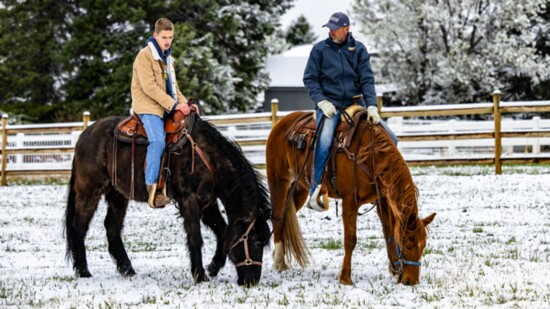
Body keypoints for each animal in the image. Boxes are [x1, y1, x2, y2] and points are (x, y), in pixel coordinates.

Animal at [66, 112, 272, 284]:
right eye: (256, 242)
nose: (252, 281)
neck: (207, 157)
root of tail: (85, 136)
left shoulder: (208, 202)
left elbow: (223, 232)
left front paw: (213, 267)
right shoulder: (189, 200)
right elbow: (195, 237)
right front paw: (200, 275)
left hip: (117, 195)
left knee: (112, 228)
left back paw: (127, 269)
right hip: (89, 192)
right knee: (79, 227)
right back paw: (83, 271)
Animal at [266, 110, 438, 284]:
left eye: (423, 245)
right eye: (406, 243)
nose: (411, 281)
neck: (369, 155)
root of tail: (283, 122)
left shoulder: (382, 199)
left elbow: (389, 233)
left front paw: (395, 269)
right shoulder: (350, 201)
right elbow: (350, 239)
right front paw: (345, 277)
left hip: (300, 187)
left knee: (286, 215)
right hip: (279, 181)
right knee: (277, 216)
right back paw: (279, 262)